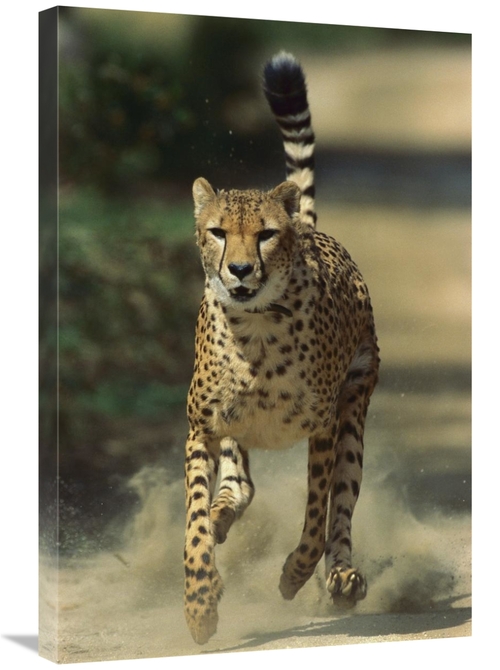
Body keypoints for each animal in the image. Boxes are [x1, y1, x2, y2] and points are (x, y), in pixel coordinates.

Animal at [183, 51, 379, 645]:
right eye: (218, 231)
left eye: (266, 234)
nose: (241, 270)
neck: (256, 331)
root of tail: (313, 229)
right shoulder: (202, 427)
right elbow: (194, 520)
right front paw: (200, 604)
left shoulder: (324, 427)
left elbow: (317, 515)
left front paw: (295, 573)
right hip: (234, 432)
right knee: (240, 486)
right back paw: (225, 515)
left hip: (355, 407)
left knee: (342, 508)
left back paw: (342, 578)